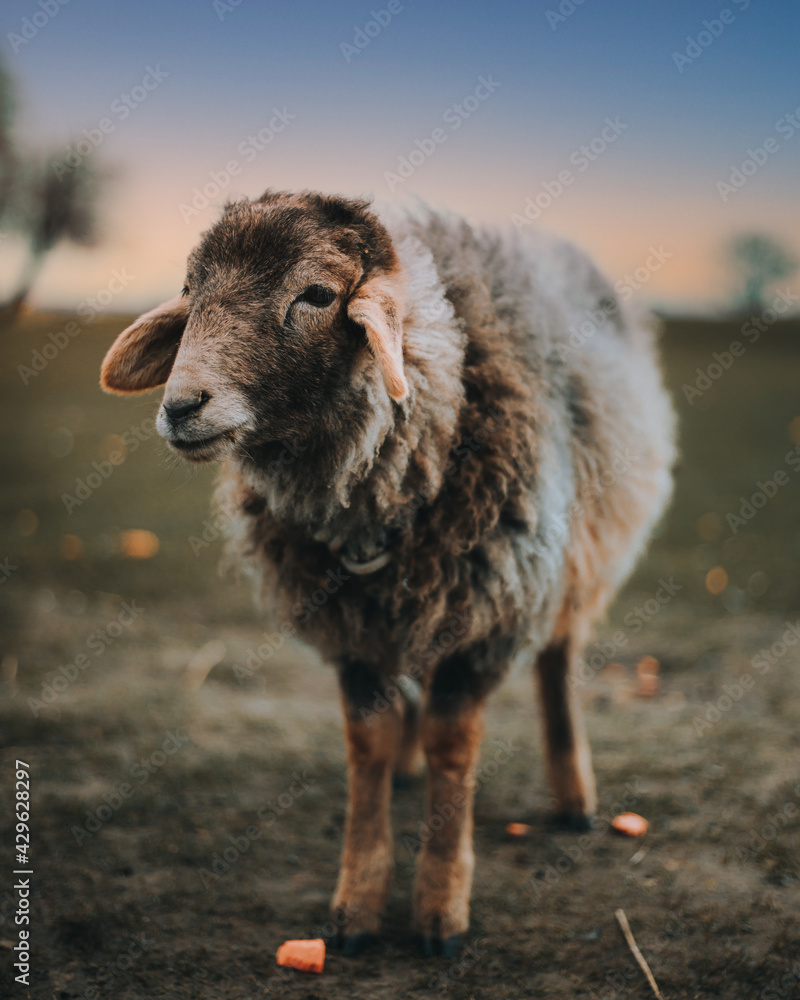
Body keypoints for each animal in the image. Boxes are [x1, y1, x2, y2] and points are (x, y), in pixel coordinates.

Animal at [100, 189, 676, 957]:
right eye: (192, 290)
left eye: (317, 294)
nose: (181, 406)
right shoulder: (353, 628)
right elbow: (367, 747)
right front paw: (356, 904)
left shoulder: (484, 616)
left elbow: (453, 745)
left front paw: (440, 910)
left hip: (568, 562)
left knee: (557, 661)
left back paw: (574, 797)